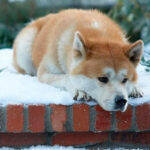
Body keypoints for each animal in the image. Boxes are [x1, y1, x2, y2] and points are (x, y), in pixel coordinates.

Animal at [12, 8, 143, 111]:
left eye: (125, 79)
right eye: (102, 79)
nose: (121, 101)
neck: (99, 33)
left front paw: (135, 88)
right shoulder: (45, 73)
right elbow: (66, 77)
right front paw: (79, 90)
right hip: (25, 48)